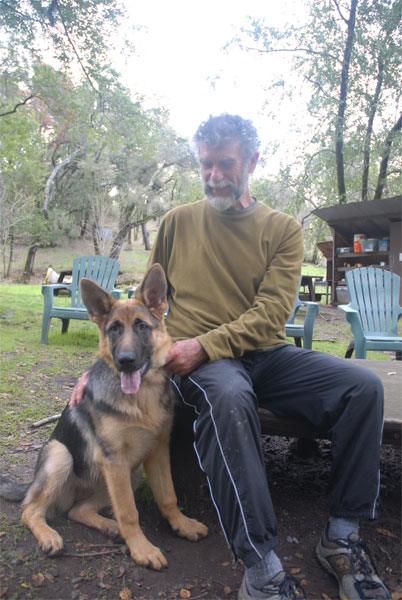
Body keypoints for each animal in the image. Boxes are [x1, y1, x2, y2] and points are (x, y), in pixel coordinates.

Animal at [0, 263, 208, 570]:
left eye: (142, 326)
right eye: (114, 329)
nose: (126, 361)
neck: (140, 400)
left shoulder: (157, 452)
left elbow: (167, 496)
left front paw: (182, 524)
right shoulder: (114, 460)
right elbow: (129, 512)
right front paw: (142, 549)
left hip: (130, 474)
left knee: (77, 510)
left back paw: (109, 527)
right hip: (63, 456)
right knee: (31, 509)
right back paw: (50, 536)